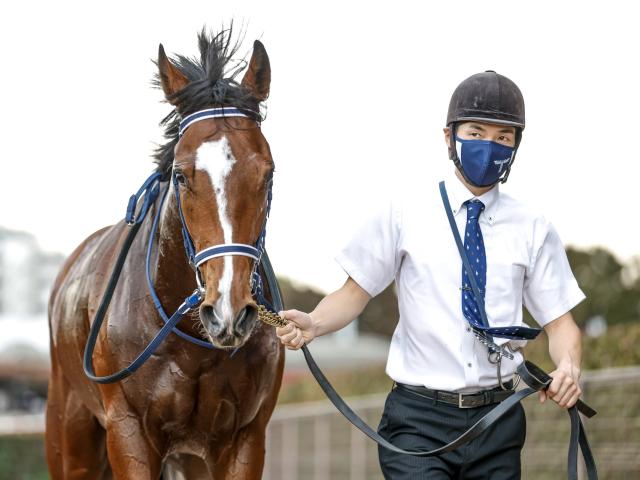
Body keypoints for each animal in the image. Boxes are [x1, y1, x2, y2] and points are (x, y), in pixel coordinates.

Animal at [45, 28, 284, 478]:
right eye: (181, 174)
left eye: (268, 172)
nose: (228, 311)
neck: (191, 341)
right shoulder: (128, 432)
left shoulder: (245, 437)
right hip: (70, 430)